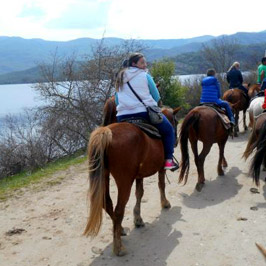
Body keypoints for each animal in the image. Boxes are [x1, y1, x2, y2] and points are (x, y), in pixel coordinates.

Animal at [83, 98, 181, 256]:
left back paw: (120, 229)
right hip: (124, 181)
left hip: (105, 177)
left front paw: (138, 219)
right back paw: (118, 247)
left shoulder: (139, 175)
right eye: (175, 121)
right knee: (118, 210)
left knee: (108, 204)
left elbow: (139, 193)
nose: (176, 141)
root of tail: (106, 132)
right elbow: (161, 185)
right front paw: (165, 203)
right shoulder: (160, 169)